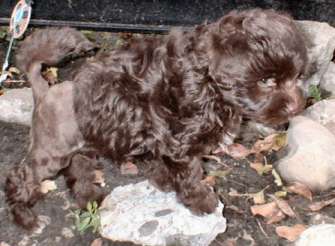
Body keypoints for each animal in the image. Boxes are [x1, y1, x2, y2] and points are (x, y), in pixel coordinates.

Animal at [5, 8, 310, 230]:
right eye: (267, 81)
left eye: (297, 76)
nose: (298, 107)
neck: (206, 80)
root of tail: (45, 90)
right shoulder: (182, 143)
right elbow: (191, 174)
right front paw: (202, 201)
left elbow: (164, 164)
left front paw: (164, 182)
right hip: (51, 152)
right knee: (21, 177)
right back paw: (26, 218)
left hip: (83, 146)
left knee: (78, 170)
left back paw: (88, 198)